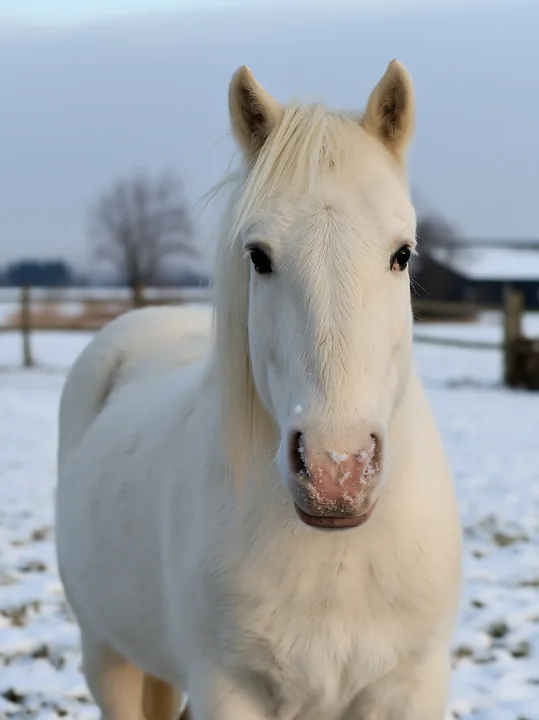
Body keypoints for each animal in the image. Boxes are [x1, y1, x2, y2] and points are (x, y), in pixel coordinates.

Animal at [55, 60, 462, 720]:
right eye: (259, 256)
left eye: (402, 254)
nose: (336, 472)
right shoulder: (228, 688)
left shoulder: (411, 685)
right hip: (107, 657)